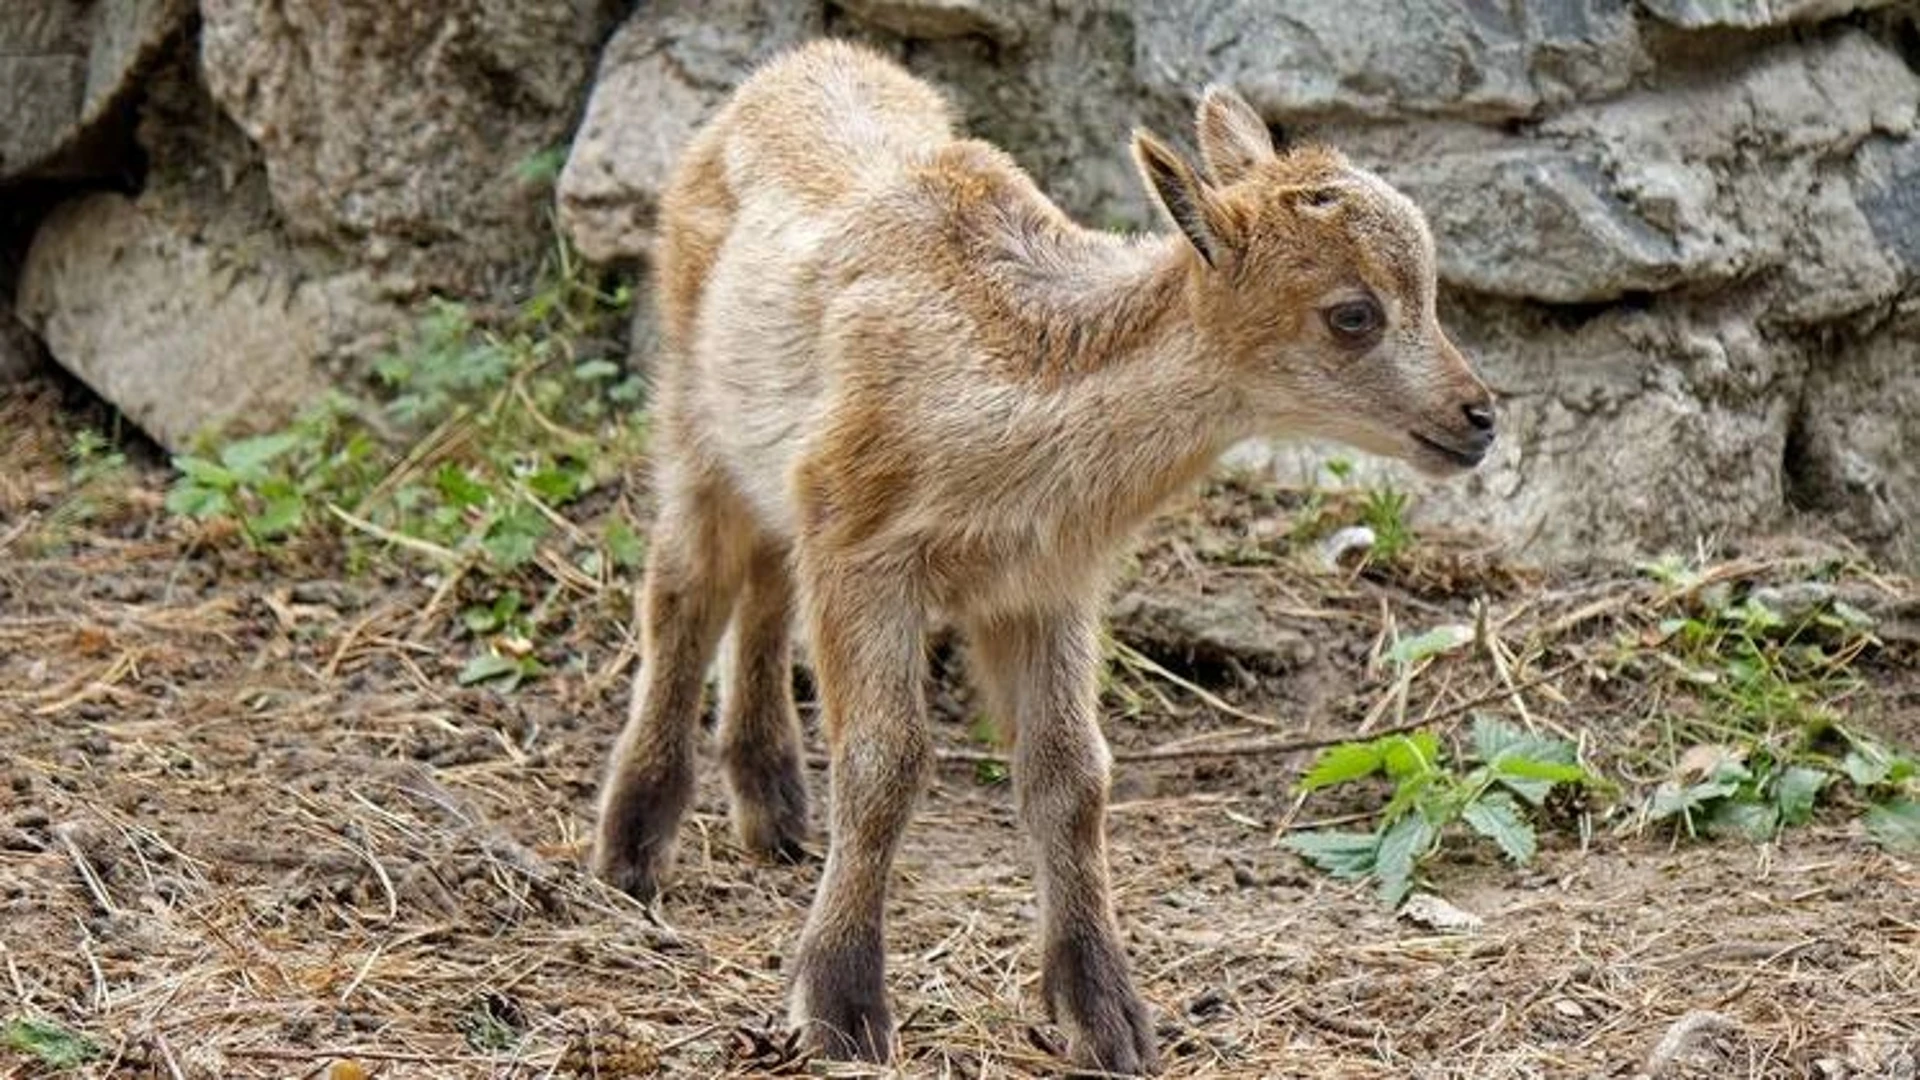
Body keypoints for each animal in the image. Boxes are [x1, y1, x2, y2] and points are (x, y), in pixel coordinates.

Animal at [591, 39, 1489, 1068]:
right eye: (1352, 314)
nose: (1478, 419)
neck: (1009, 396)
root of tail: (790, 65)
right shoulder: (864, 552)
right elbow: (884, 763)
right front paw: (842, 1008)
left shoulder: (1044, 585)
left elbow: (1072, 777)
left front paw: (1107, 1018)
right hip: (690, 411)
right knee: (686, 586)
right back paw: (632, 848)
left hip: (773, 469)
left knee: (765, 578)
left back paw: (773, 810)